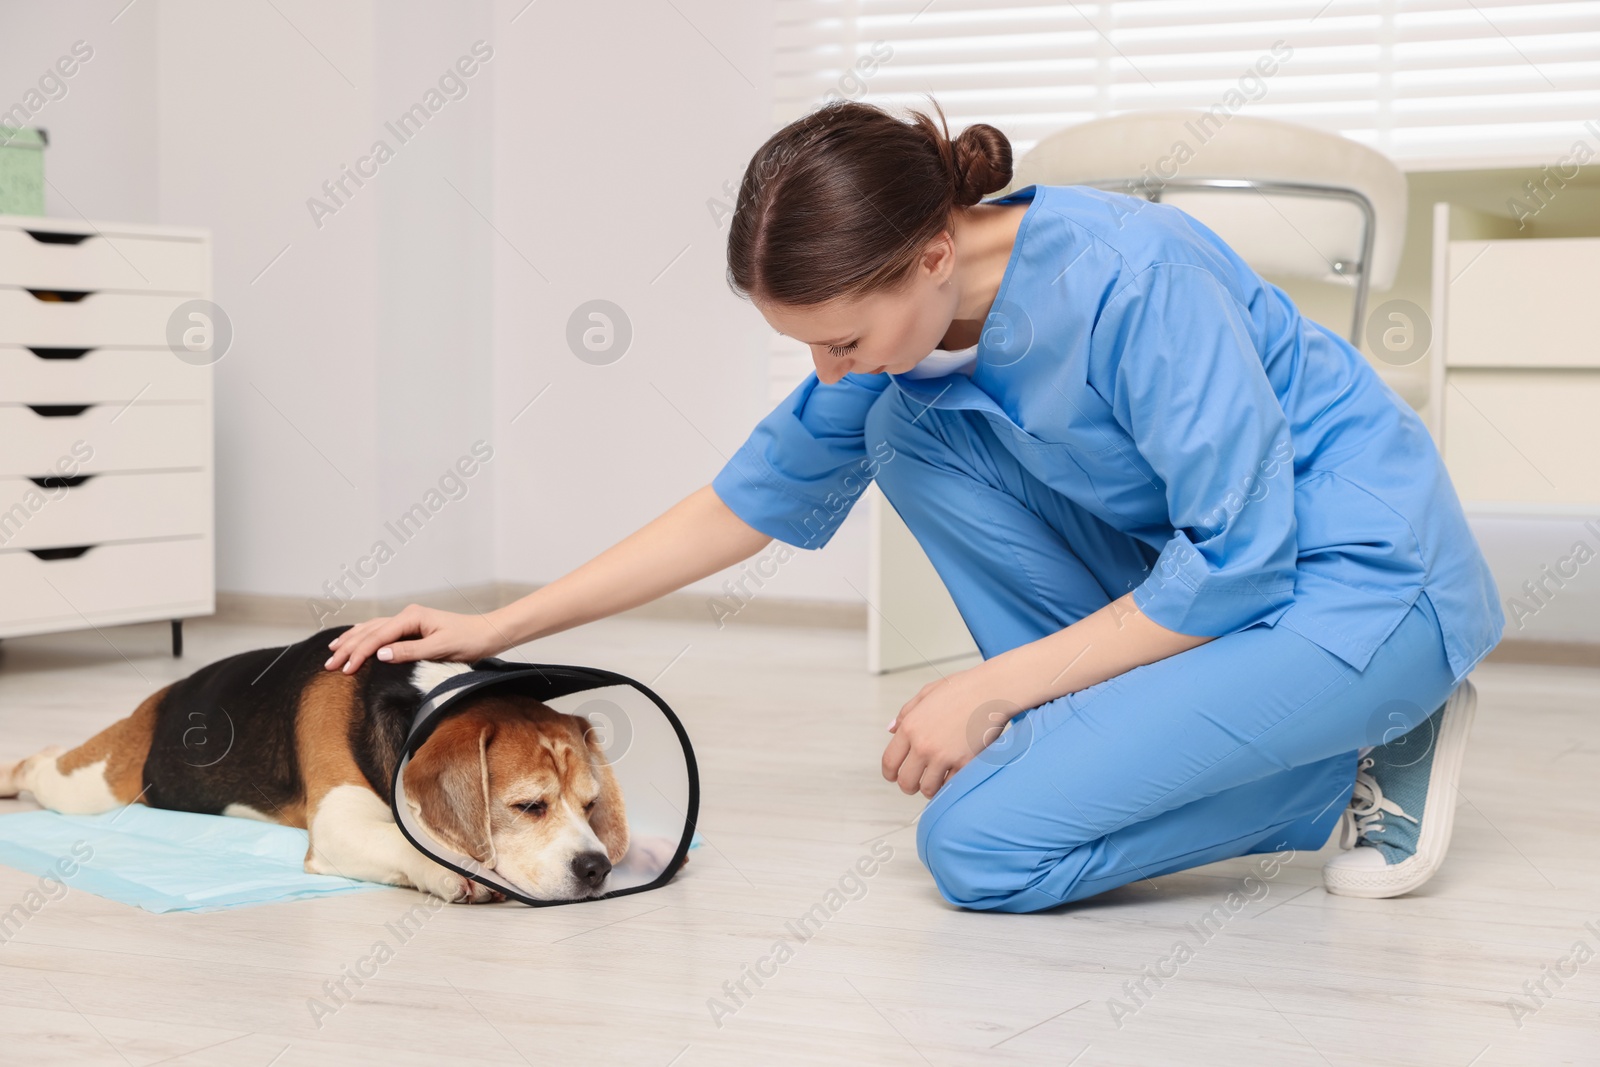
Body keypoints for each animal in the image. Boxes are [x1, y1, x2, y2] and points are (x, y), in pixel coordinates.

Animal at [0, 630, 630, 908]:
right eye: (529, 806)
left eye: (590, 805)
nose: (596, 868)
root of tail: (166, 693)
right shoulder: (337, 824)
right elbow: (402, 842)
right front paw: (456, 869)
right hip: (97, 783)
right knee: (40, 763)